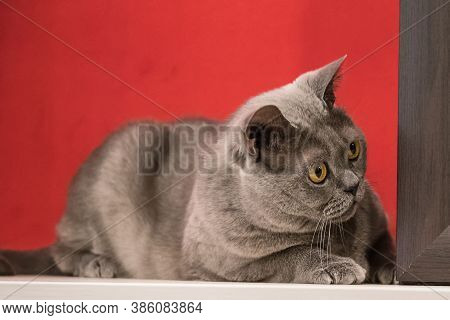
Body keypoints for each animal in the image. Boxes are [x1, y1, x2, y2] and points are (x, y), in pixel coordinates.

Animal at [0, 56, 394, 284]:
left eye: (353, 149)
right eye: (318, 173)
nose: (354, 185)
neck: (339, 233)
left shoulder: (378, 221)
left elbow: (386, 243)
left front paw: (389, 269)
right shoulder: (222, 265)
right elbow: (288, 255)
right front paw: (339, 267)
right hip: (118, 162)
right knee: (60, 248)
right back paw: (96, 263)